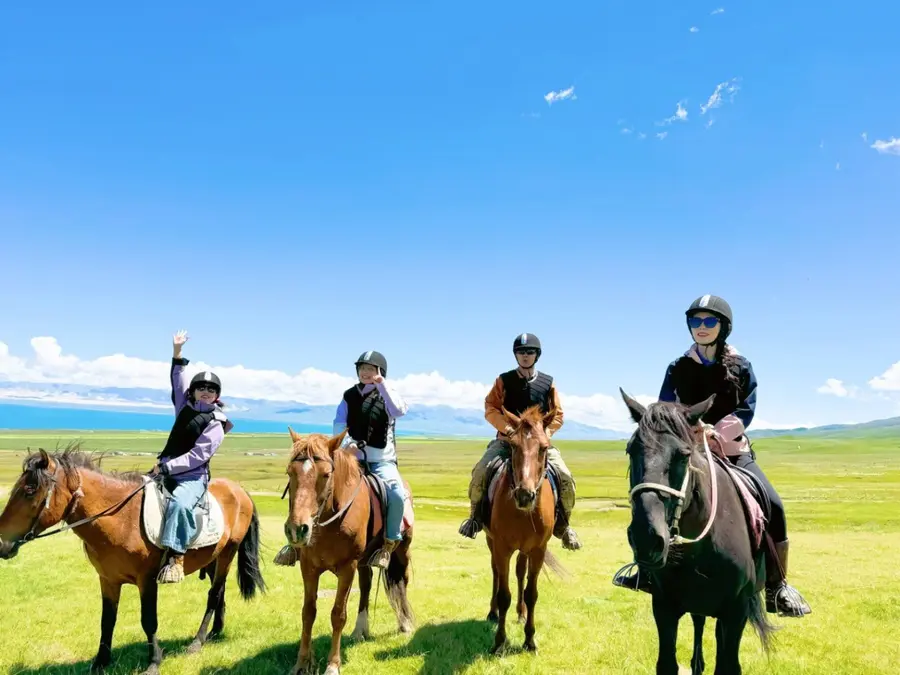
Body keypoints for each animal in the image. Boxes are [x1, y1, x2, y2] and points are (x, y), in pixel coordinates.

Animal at [0, 445, 266, 675]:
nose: (2, 542)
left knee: (214, 594)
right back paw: (215, 633)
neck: (120, 519)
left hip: (227, 553)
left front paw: (154, 662)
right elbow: (107, 621)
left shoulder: (146, 580)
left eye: (30, 490)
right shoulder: (107, 579)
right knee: (219, 592)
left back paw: (197, 642)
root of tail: (239, 490)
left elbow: (149, 620)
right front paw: (100, 662)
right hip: (212, 558)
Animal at [277, 428, 414, 675]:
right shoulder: (309, 567)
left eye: (326, 474)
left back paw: (405, 624)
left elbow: (338, 614)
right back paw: (360, 630)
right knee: (366, 584)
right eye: (290, 472)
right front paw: (301, 663)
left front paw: (333, 665)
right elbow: (308, 613)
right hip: (364, 561)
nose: (297, 529)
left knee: (402, 581)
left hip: (401, 552)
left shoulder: (347, 568)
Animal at [480, 404, 568, 655]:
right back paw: (492, 613)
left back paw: (520, 613)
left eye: (543, 447)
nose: (524, 495)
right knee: (496, 573)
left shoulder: (538, 549)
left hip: (525, 549)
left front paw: (529, 640)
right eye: (513, 445)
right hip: (491, 543)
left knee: (520, 573)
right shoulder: (502, 547)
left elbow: (532, 593)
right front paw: (499, 642)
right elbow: (503, 595)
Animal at [616, 390, 777, 675]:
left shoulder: (736, 612)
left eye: (683, 455)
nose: (647, 539)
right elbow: (667, 663)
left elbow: (727, 665)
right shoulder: (664, 607)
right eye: (630, 450)